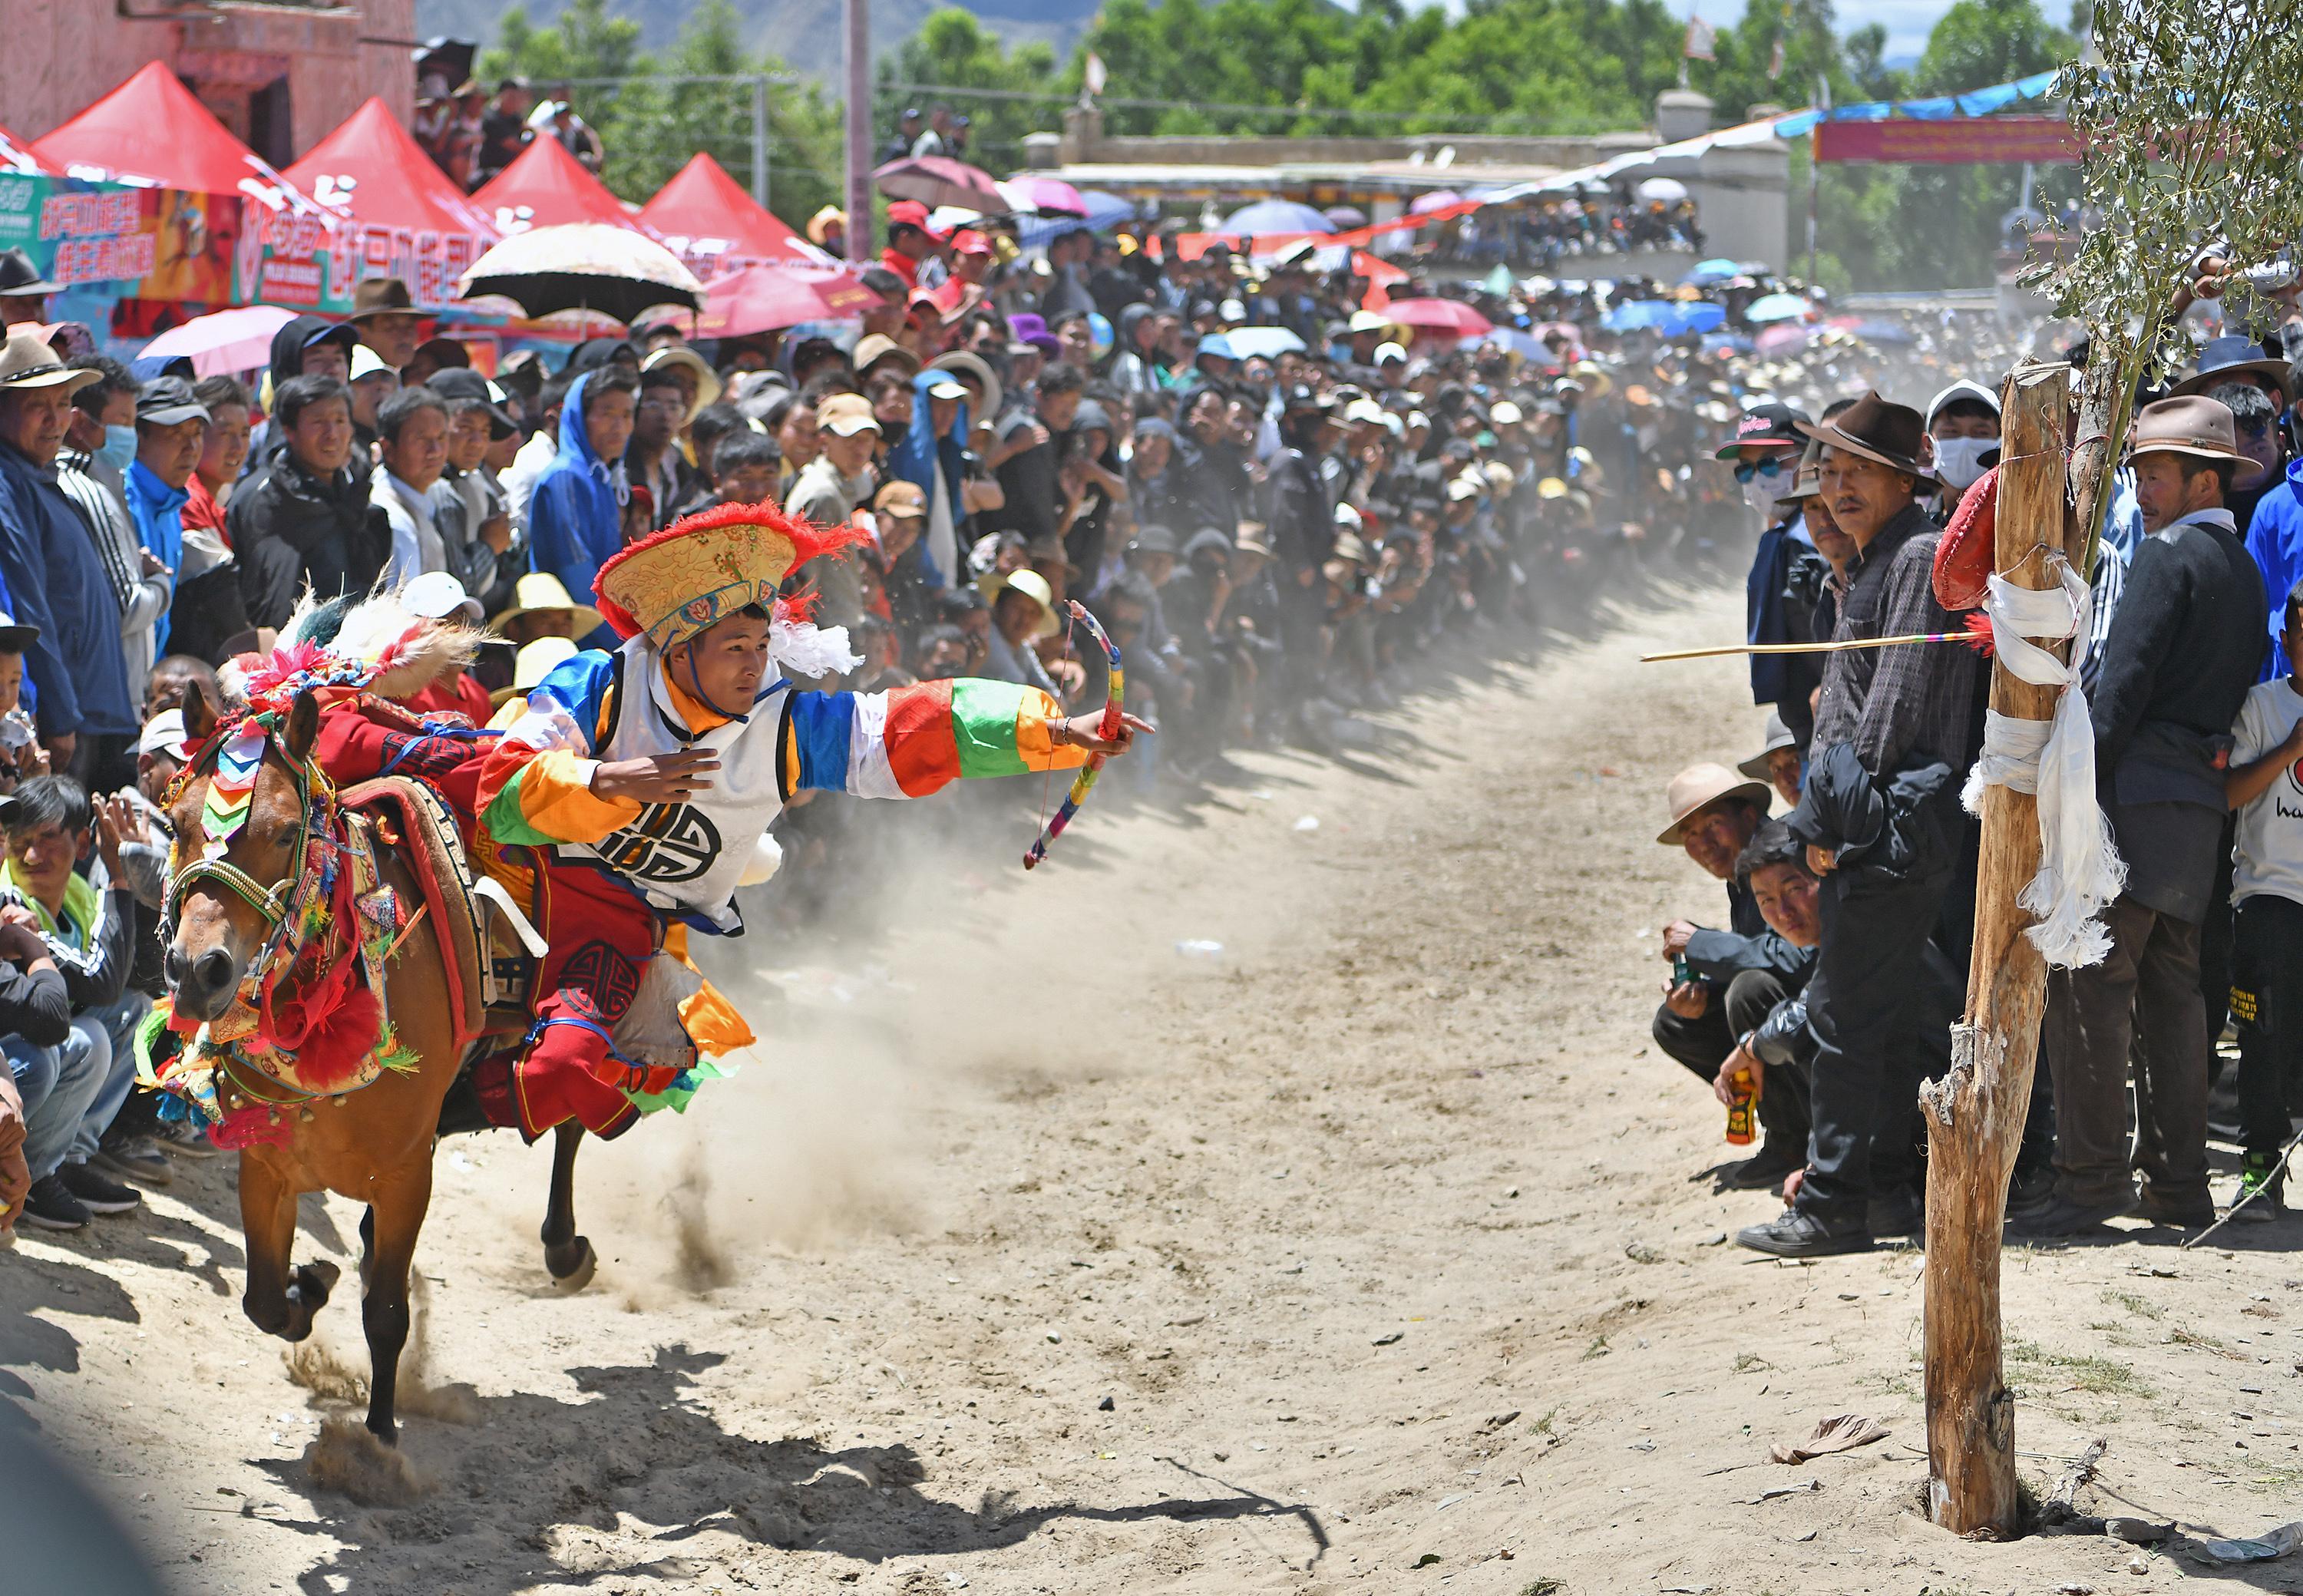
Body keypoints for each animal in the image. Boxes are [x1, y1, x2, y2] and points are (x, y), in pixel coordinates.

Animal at [162, 668, 590, 1437]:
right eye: (175, 825)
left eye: (283, 831)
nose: (196, 970)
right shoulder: (266, 1166)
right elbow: (263, 1299)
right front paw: (310, 1285)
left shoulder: (405, 1177)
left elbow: (386, 1314)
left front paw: (380, 1435)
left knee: (569, 1111)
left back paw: (565, 1244)